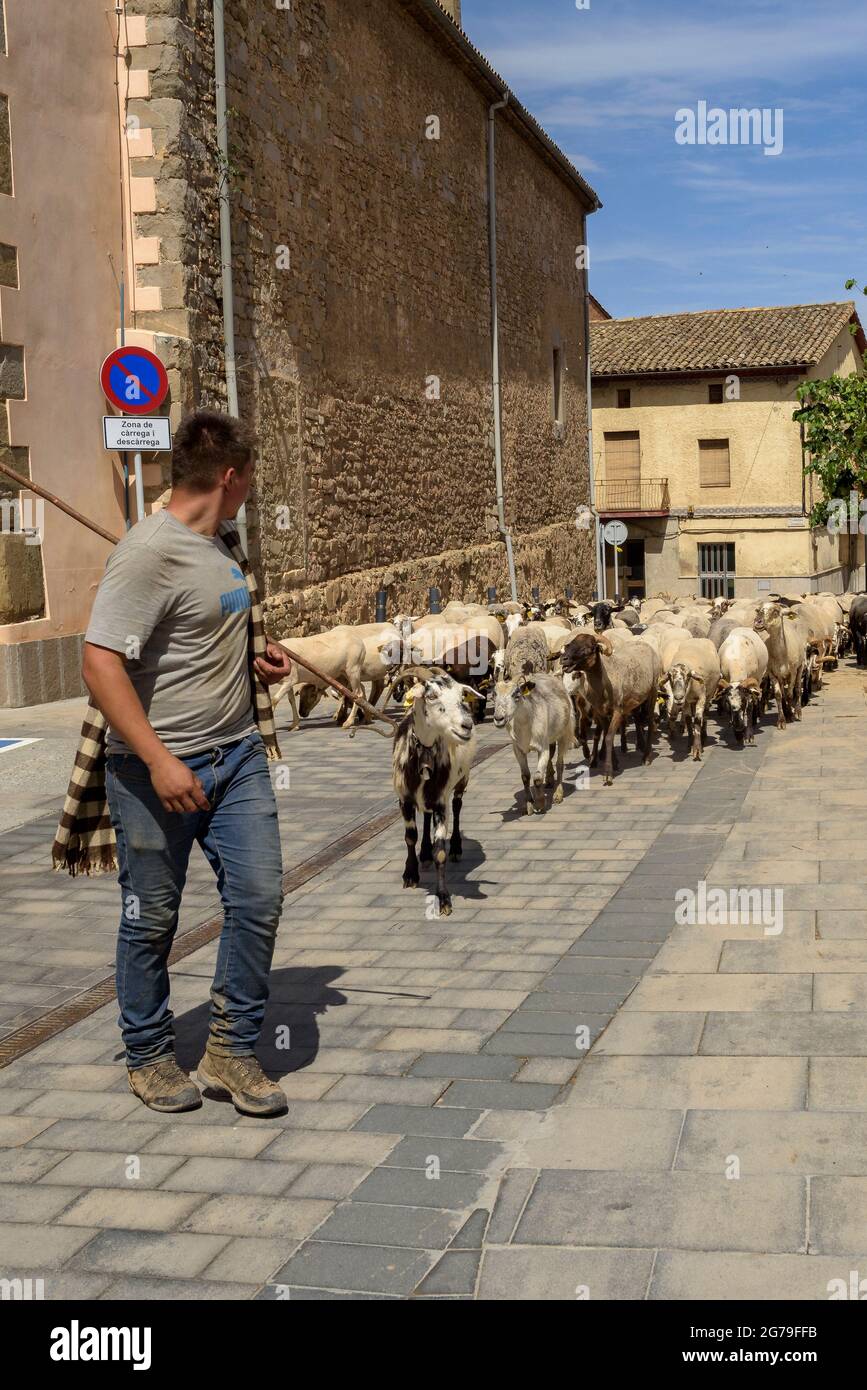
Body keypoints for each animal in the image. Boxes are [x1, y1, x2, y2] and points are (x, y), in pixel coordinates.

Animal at [391, 667, 480, 917]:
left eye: (461, 696)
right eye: (431, 696)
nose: (466, 725)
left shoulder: (441, 802)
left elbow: (441, 851)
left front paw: (443, 899)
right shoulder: (404, 799)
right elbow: (410, 837)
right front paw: (410, 874)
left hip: (462, 779)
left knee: (457, 807)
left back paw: (456, 847)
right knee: (426, 816)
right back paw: (424, 853)